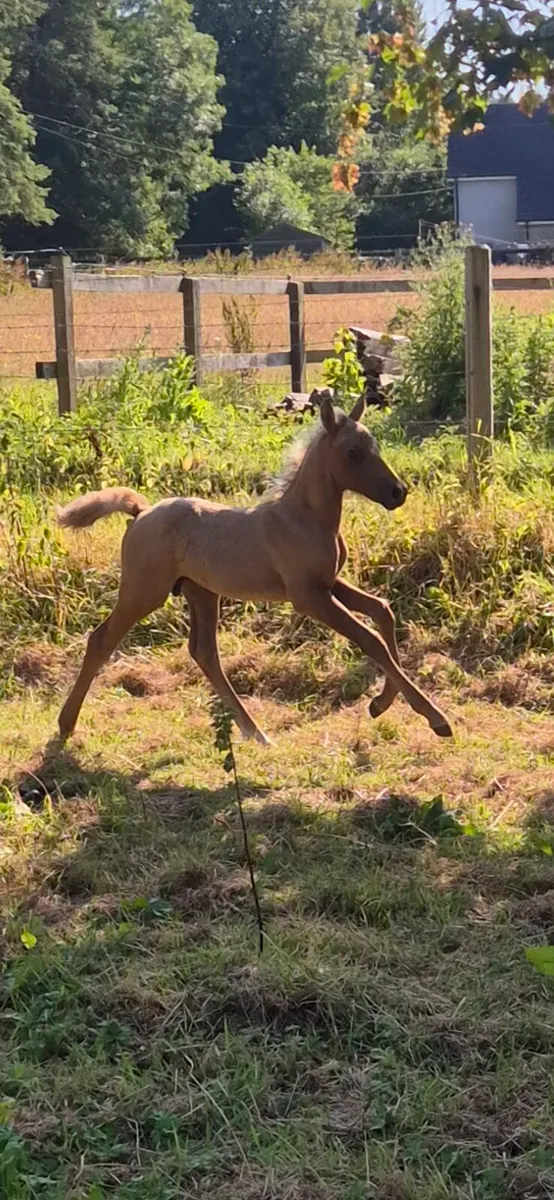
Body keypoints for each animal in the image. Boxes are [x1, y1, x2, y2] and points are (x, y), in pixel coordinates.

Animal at [56, 389, 452, 744]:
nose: (398, 492)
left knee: (204, 652)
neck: (303, 518)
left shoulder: (329, 584)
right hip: (144, 590)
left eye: (376, 448)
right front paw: (436, 718)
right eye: (352, 453)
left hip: (201, 592)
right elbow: (370, 638)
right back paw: (66, 724)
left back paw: (255, 732)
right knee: (101, 639)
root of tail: (140, 512)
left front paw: (380, 704)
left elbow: (382, 611)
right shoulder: (308, 596)